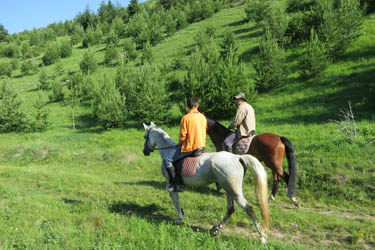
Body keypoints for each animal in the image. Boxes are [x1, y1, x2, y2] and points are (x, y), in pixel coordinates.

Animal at [142, 123, 270, 242]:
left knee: (248, 209)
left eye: (145, 136)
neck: (168, 150)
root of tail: (237, 158)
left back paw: (262, 237)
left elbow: (176, 202)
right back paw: (216, 228)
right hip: (228, 189)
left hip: (234, 191)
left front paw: (179, 219)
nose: (145, 152)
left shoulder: (171, 185)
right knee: (231, 209)